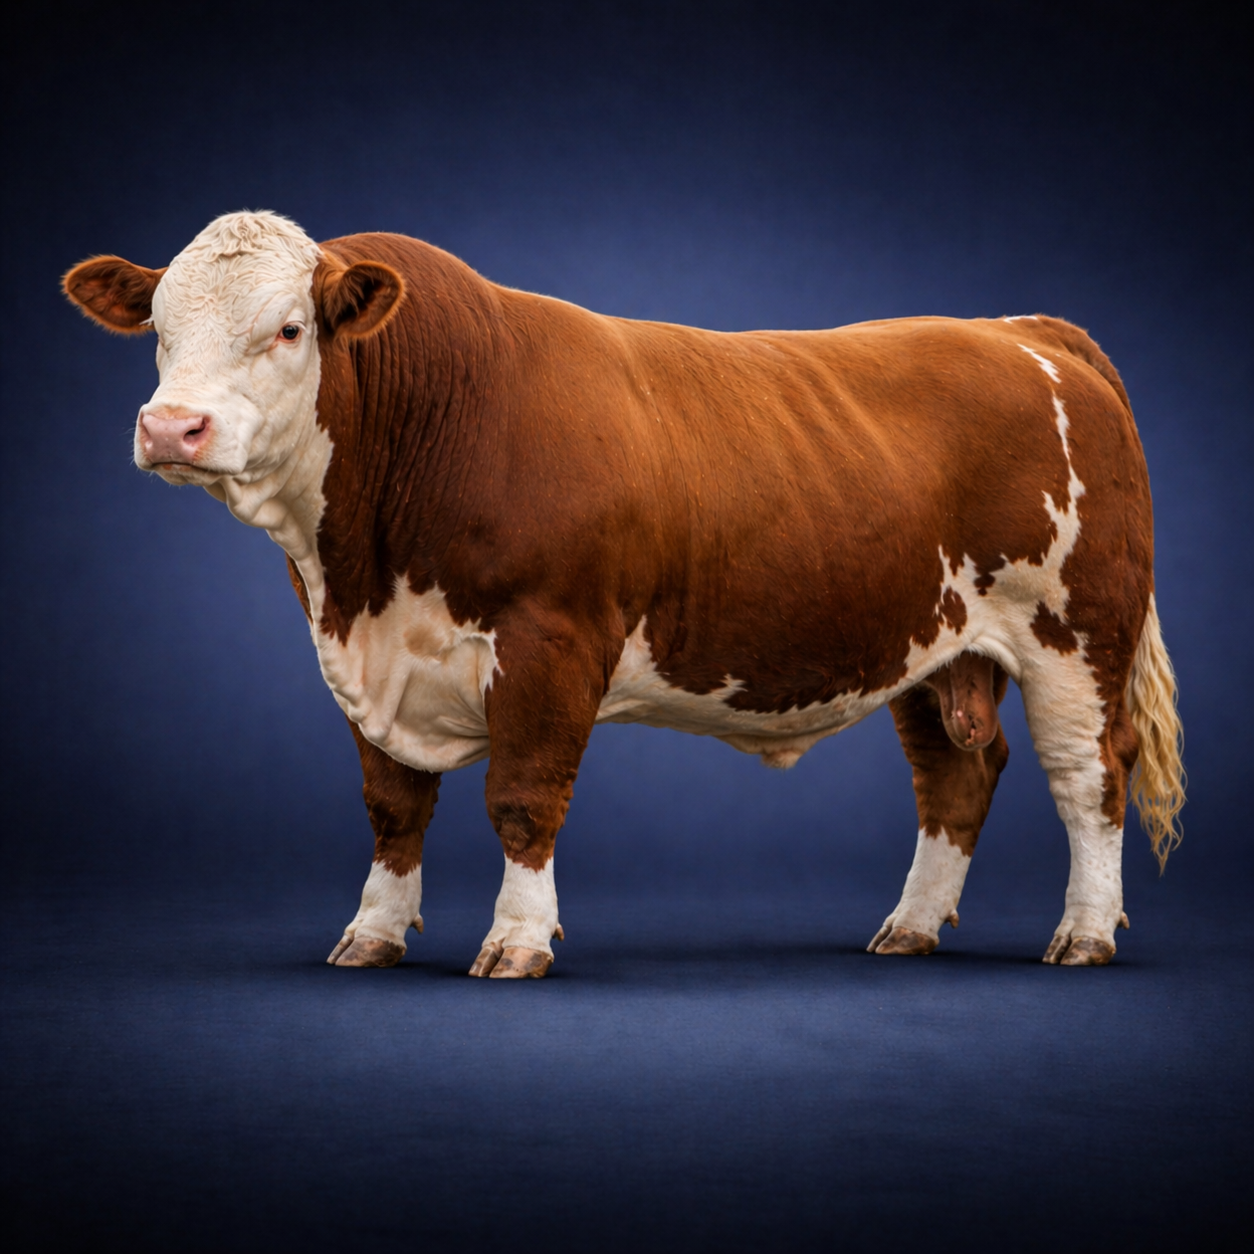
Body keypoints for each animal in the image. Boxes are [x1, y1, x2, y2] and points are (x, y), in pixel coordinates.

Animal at [63, 211, 1184, 978]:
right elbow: (392, 804)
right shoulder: (362, 658)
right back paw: (907, 928)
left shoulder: (551, 638)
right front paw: (371, 936)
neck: (367, 568)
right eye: (158, 329)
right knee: (957, 775)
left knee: (1089, 775)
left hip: (1078, 631)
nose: (171, 427)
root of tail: (1017, 326)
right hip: (933, 645)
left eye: (291, 328)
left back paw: (1083, 934)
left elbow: (521, 797)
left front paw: (517, 944)